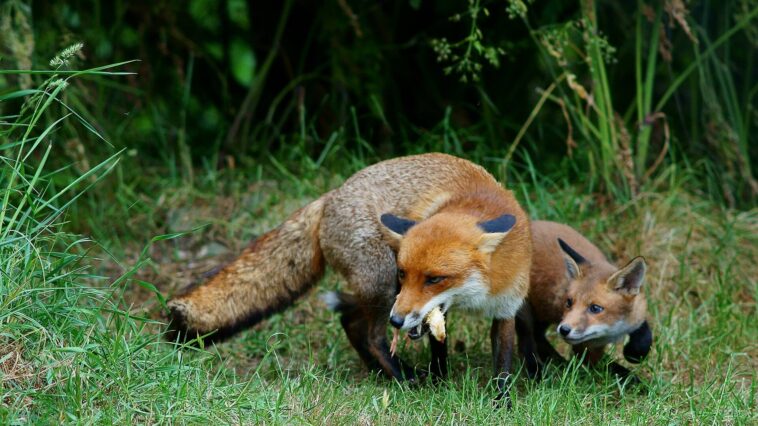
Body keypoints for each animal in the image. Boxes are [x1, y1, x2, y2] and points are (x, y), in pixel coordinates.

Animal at [166, 153, 532, 402]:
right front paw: (439, 383)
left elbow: (503, 363)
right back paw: (401, 376)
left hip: (380, 290)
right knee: (370, 334)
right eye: (407, 272)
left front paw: (501, 404)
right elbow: (438, 349)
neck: (478, 295)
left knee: (350, 320)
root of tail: (330, 195)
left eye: (434, 278)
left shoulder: (504, 308)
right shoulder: (421, 304)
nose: (398, 321)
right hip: (383, 283)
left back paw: (379, 371)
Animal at [515, 220, 652, 381]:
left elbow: (645, 336)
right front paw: (634, 380)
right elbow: (609, 368)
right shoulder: (586, 351)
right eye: (568, 302)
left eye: (595, 308)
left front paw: (634, 353)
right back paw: (539, 371)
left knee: (538, 336)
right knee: (527, 340)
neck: (613, 330)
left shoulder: (638, 311)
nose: (564, 330)